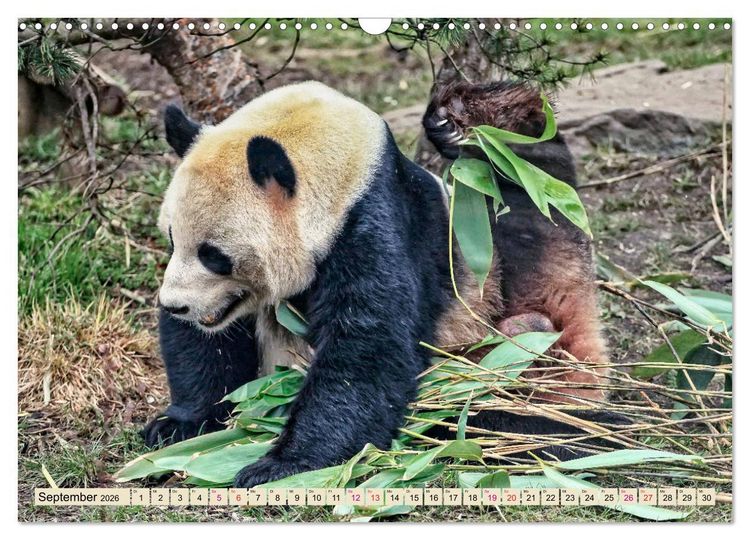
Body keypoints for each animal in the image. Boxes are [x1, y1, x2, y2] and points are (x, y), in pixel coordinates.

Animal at [143, 80, 620, 488]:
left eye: (214, 255)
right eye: (172, 238)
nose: (176, 306)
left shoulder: (372, 222)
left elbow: (368, 346)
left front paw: (281, 465)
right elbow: (208, 348)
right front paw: (178, 424)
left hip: (503, 334)